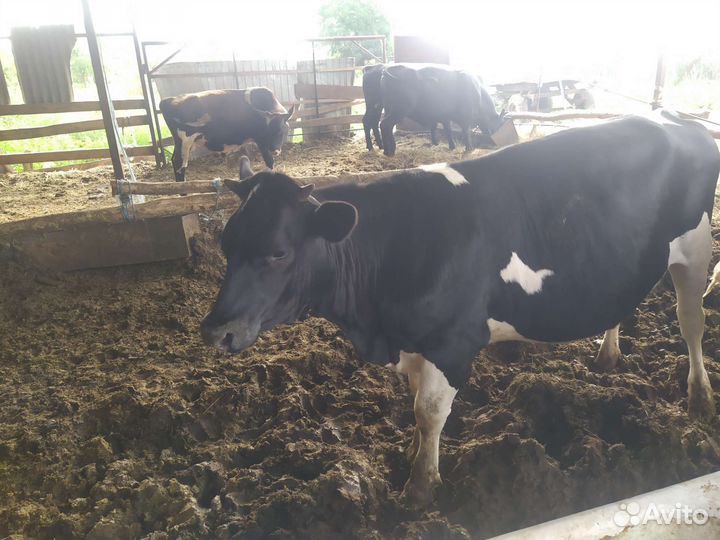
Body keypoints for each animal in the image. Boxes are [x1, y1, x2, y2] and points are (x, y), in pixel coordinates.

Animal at [159, 87, 294, 181]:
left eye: (283, 130)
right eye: (268, 131)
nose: (275, 150)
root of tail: (168, 100)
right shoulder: (261, 142)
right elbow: (269, 162)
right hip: (185, 139)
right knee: (179, 162)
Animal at [201, 112, 720, 507]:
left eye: (279, 252)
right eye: (226, 243)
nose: (215, 330)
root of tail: (677, 119)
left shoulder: (452, 343)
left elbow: (429, 411)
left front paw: (421, 487)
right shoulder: (414, 341)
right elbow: (414, 408)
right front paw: (411, 456)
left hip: (694, 251)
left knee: (691, 324)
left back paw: (699, 396)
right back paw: (608, 355)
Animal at [362, 63, 505, 156]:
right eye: (498, 123)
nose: (494, 139)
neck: (478, 91)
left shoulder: (444, 116)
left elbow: (445, 130)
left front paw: (448, 145)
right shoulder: (465, 116)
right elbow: (466, 131)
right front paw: (469, 148)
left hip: (379, 107)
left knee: (371, 122)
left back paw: (377, 147)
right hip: (398, 110)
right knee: (384, 124)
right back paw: (389, 150)